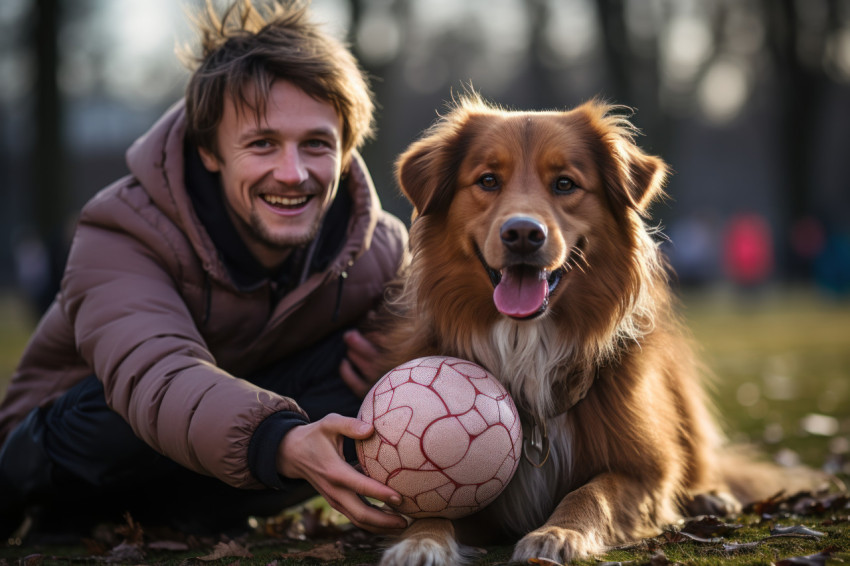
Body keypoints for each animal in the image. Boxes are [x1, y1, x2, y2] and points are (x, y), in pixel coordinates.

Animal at [372, 95, 816, 564]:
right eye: (488, 180)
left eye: (565, 183)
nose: (523, 233)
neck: (527, 344)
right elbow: (432, 509)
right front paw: (420, 540)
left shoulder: (643, 471)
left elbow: (591, 494)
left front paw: (558, 532)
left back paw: (708, 495)